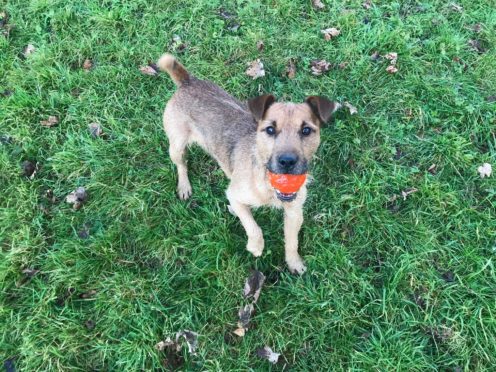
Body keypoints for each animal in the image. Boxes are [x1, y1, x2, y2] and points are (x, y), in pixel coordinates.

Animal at [158, 53, 338, 274]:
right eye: (270, 129)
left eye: (306, 130)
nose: (287, 161)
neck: (268, 185)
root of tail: (187, 81)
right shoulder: (235, 196)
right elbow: (253, 226)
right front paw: (256, 246)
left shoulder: (294, 212)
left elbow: (292, 241)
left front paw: (294, 262)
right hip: (176, 145)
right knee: (181, 164)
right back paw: (184, 186)